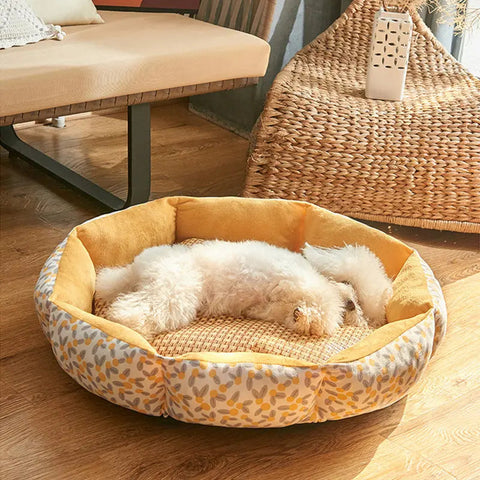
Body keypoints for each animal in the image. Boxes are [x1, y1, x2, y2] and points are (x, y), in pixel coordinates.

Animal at [95, 240, 392, 338]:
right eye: (355, 291)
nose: (353, 306)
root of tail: (139, 268)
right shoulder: (300, 281)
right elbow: (323, 308)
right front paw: (314, 317)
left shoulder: (273, 308)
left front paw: (301, 317)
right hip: (175, 293)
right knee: (133, 310)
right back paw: (127, 323)